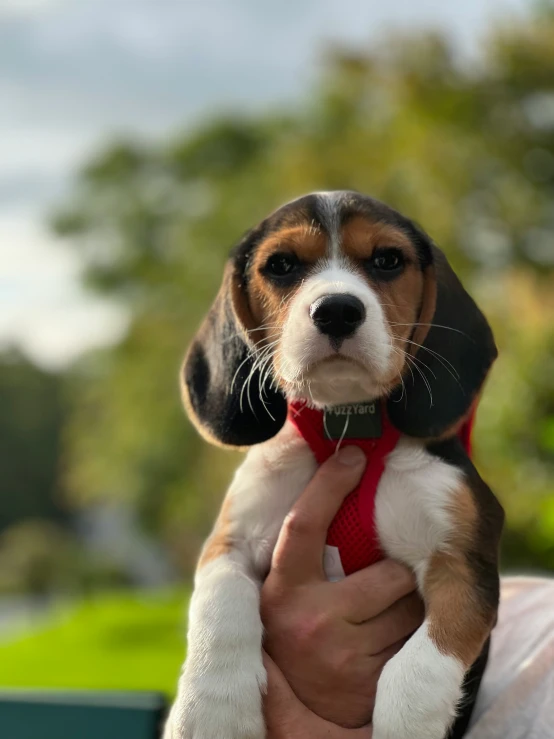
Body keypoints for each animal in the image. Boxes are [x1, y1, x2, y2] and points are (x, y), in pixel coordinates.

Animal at [166, 191, 502, 739]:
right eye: (281, 265)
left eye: (387, 260)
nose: (338, 310)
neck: (347, 427)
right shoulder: (231, 539)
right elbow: (220, 604)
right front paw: (210, 711)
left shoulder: (460, 564)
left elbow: (416, 670)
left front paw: (405, 725)